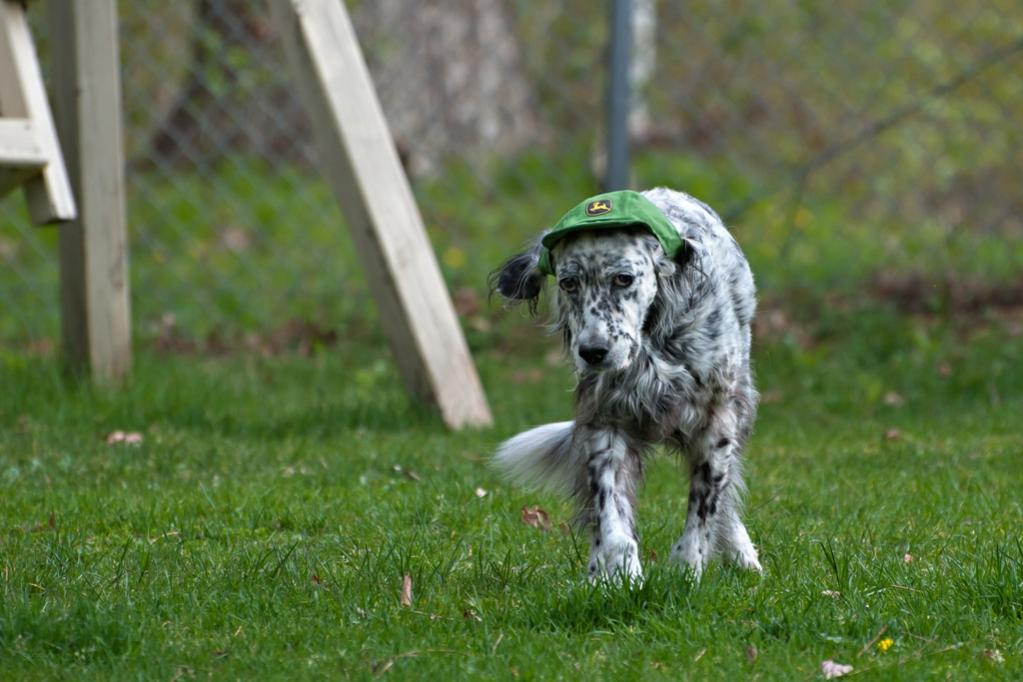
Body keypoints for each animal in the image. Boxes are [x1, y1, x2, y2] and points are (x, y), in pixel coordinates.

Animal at [491, 187, 765, 580]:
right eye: (568, 283)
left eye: (623, 278)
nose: (593, 352)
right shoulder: (605, 419)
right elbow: (610, 512)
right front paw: (618, 572)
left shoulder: (716, 421)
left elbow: (704, 508)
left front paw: (687, 568)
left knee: (725, 499)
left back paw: (744, 556)